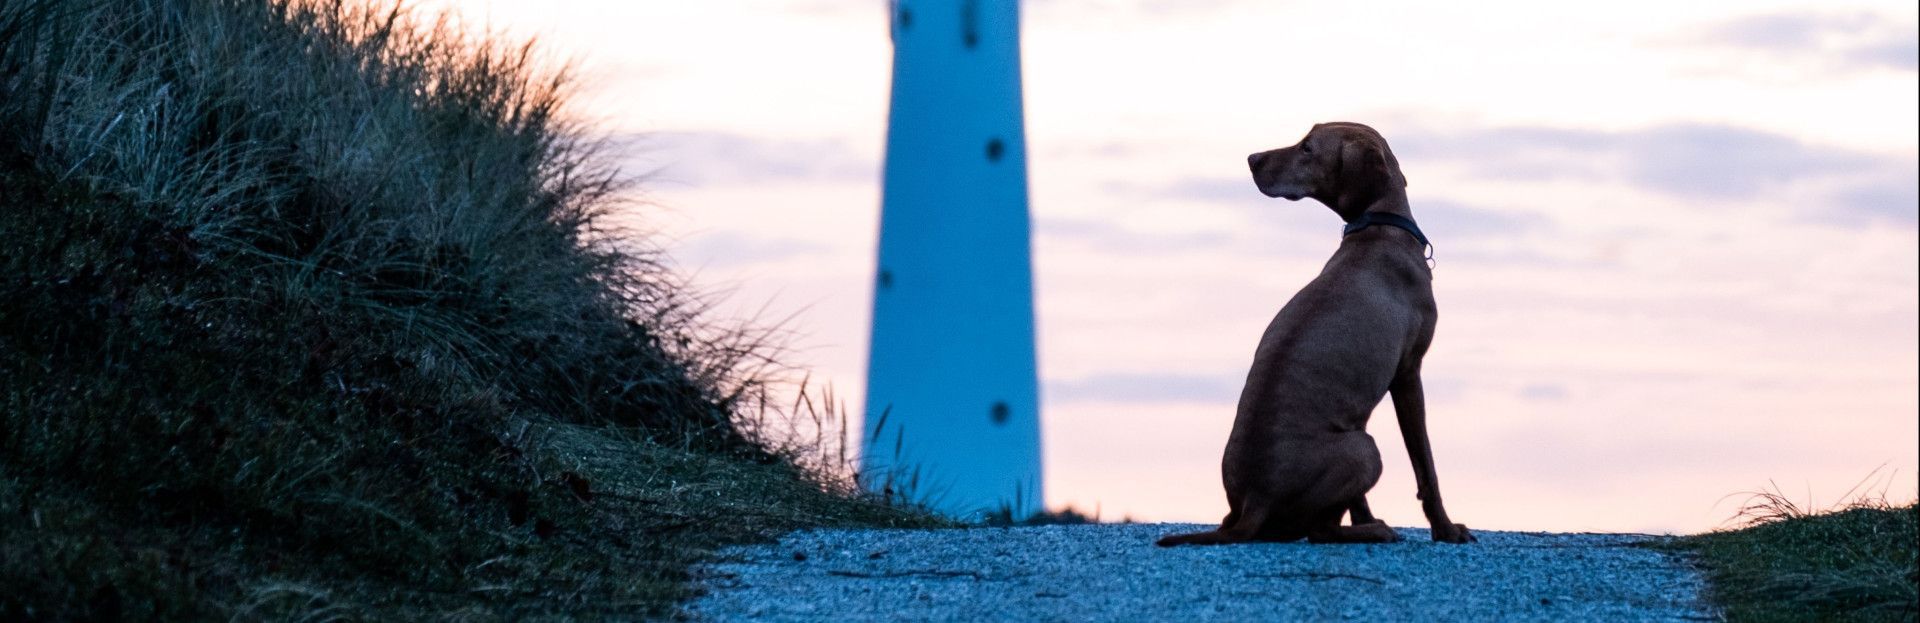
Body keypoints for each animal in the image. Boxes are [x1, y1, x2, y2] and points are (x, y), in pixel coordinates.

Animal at [1159, 121, 1474, 546]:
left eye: (1307, 148)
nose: (1252, 159)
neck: (1378, 229)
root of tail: (1254, 500)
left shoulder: (1362, 406)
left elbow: (1360, 496)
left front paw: (1367, 517)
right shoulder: (1408, 373)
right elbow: (1425, 464)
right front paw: (1446, 529)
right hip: (1364, 448)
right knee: (1319, 530)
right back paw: (1378, 531)